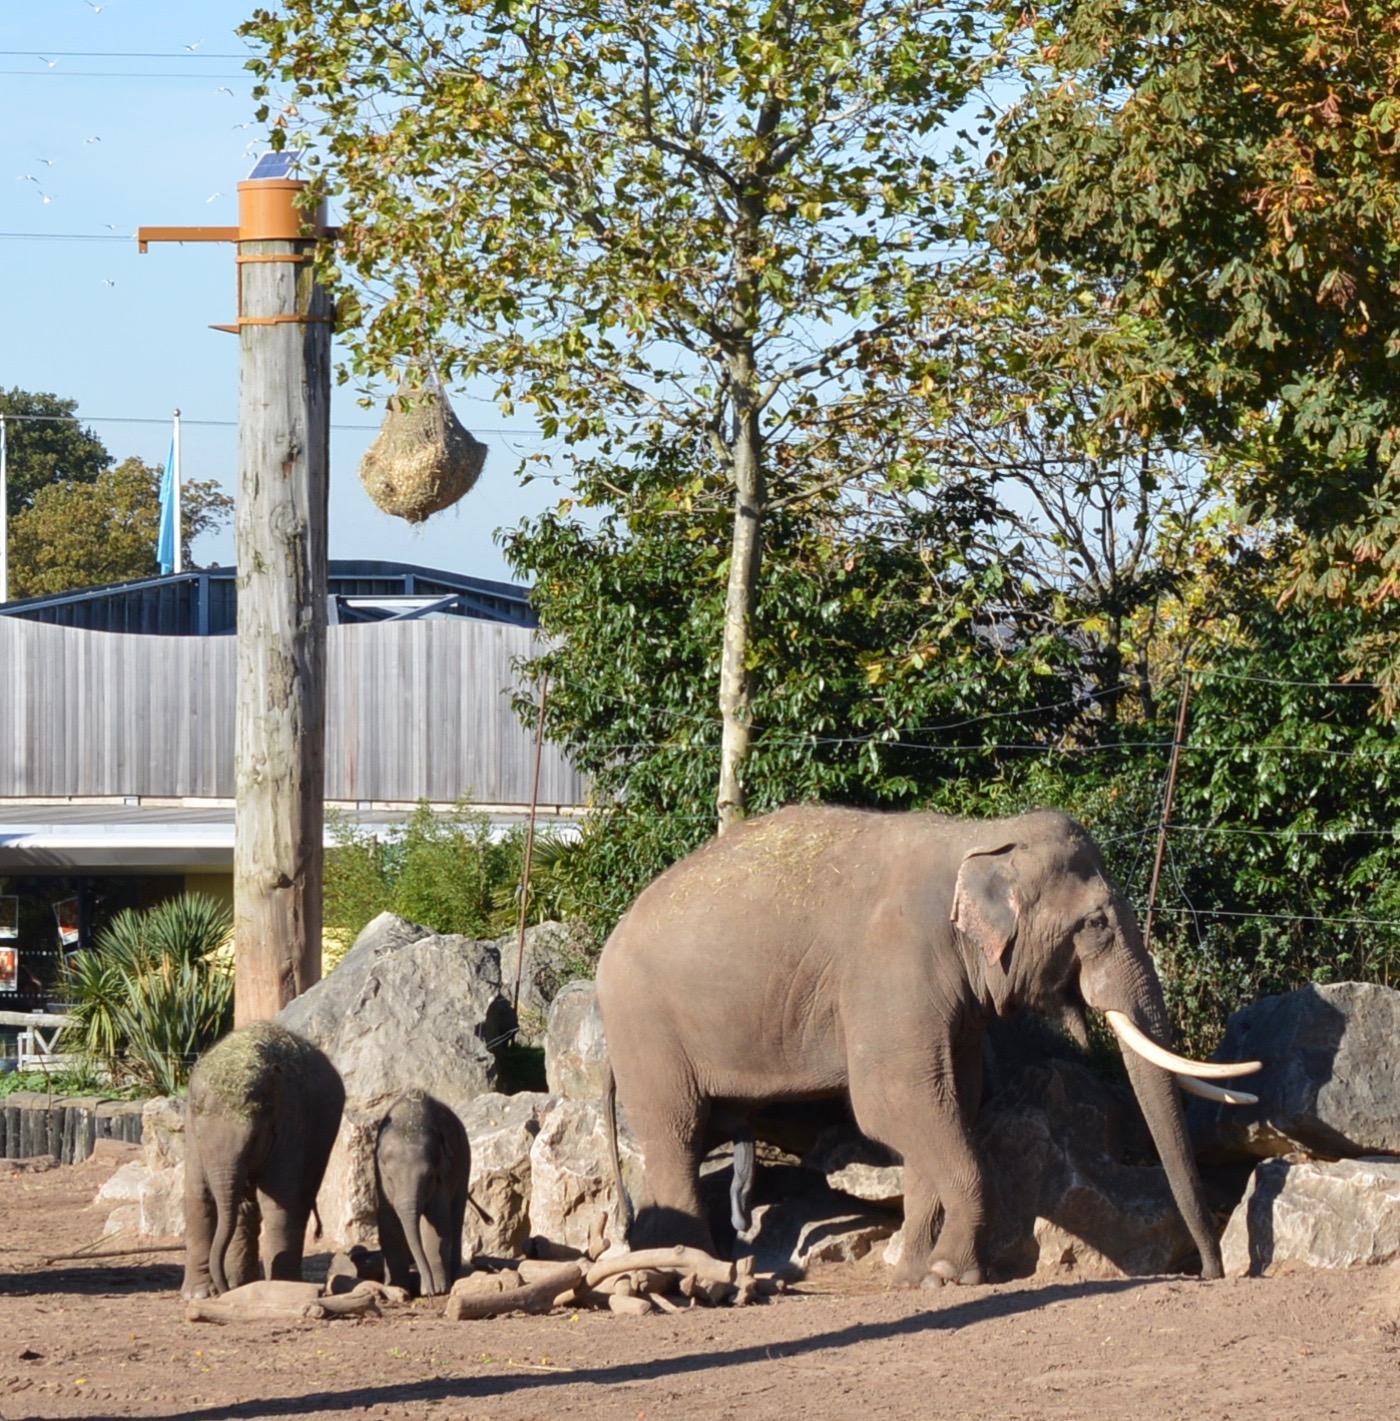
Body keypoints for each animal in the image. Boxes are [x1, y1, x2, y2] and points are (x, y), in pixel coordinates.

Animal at [375, 1091, 477, 1295]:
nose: (428, 1291)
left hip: (464, 1165)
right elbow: (388, 1225)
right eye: (389, 1179)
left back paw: (455, 1274)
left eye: (429, 1178)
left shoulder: (442, 1178)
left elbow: (436, 1223)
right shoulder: (381, 1185)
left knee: (456, 1217)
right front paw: (398, 1287)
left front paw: (439, 1289)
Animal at [594, 812, 1262, 1290]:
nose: (1208, 1274)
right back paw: (686, 1277)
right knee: (675, 1133)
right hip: (644, 1026)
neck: (980, 837)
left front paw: (916, 1276)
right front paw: (952, 1276)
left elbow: (947, 1104)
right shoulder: (896, 970)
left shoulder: (955, 1004)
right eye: (1097, 924)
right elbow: (894, 1103)